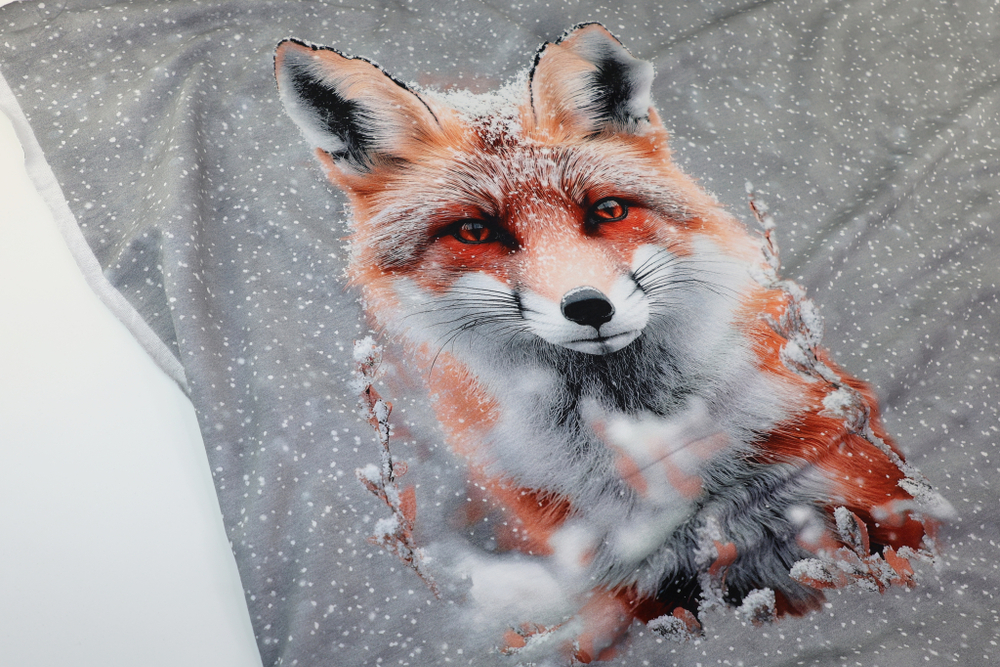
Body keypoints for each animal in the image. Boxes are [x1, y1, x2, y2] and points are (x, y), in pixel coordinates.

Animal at [275, 23, 947, 663]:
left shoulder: (862, 501)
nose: (590, 307)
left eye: (608, 211)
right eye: (475, 231)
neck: (665, 464)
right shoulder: (633, 591)